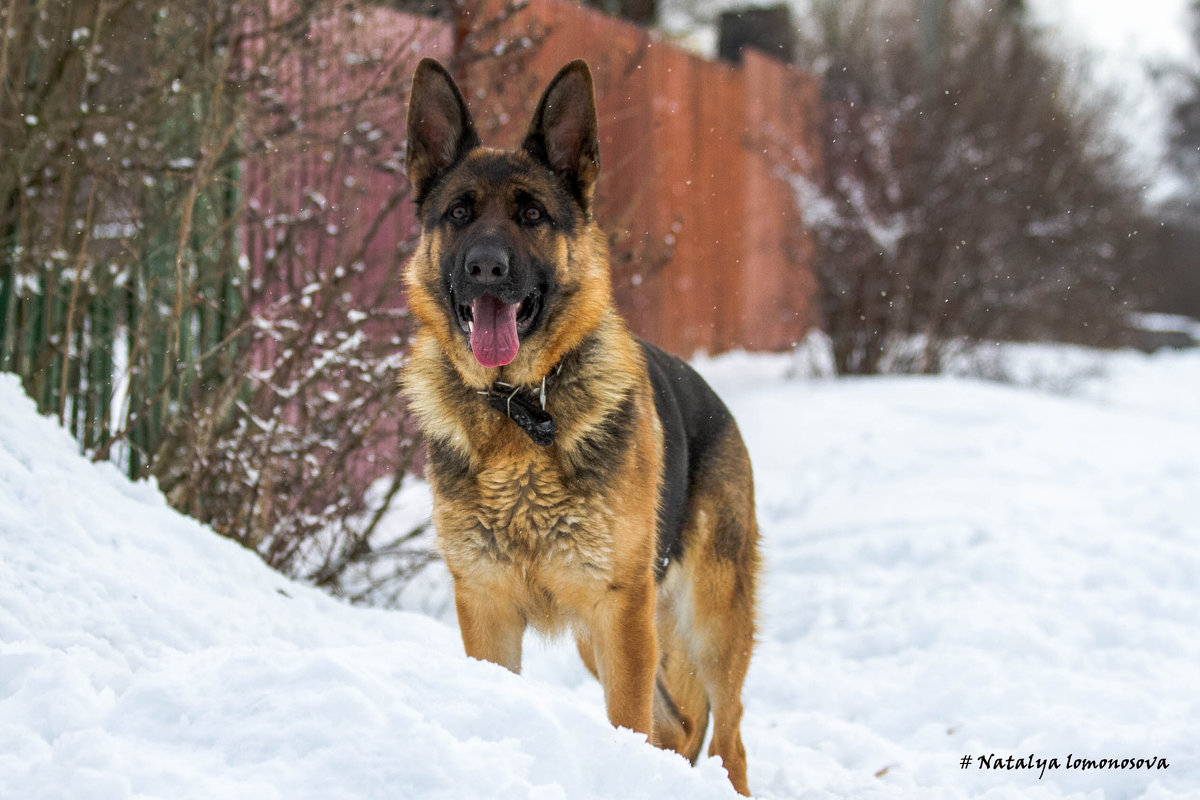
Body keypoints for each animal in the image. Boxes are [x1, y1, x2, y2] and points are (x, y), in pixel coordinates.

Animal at [403, 61, 758, 796]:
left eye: (532, 214)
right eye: (459, 213)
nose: (485, 267)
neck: (518, 405)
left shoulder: (618, 609)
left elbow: (630, 724)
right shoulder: (488, 610)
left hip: (703, 625)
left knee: (728, 740)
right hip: (613, 639)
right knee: (680, 725)